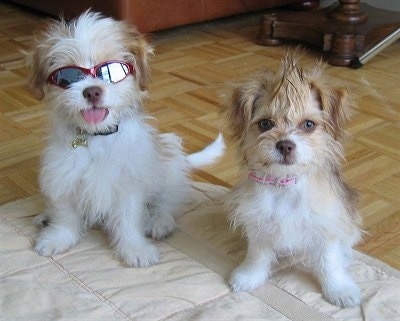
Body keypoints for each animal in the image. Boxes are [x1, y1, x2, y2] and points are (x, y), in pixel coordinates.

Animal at [30, 11, 225, 266]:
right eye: (67, 77)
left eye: (111, 72)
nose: (92, 91)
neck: (97, 137)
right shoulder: (63, 176)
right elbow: (65, 215)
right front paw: (57, 238)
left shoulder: (128, 184)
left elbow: (128, 220)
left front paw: (135, 248)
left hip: (169, 168)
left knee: (168, 201)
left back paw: (160, 222)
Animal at [225, 50, 362, 308]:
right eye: (265, 124)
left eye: (308, 124)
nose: (285, 145)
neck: (285, 186)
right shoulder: (259, 224)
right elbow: (257, 254)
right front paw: (250, 276)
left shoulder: (326, 227)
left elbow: (329, 262)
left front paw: (338, 289)